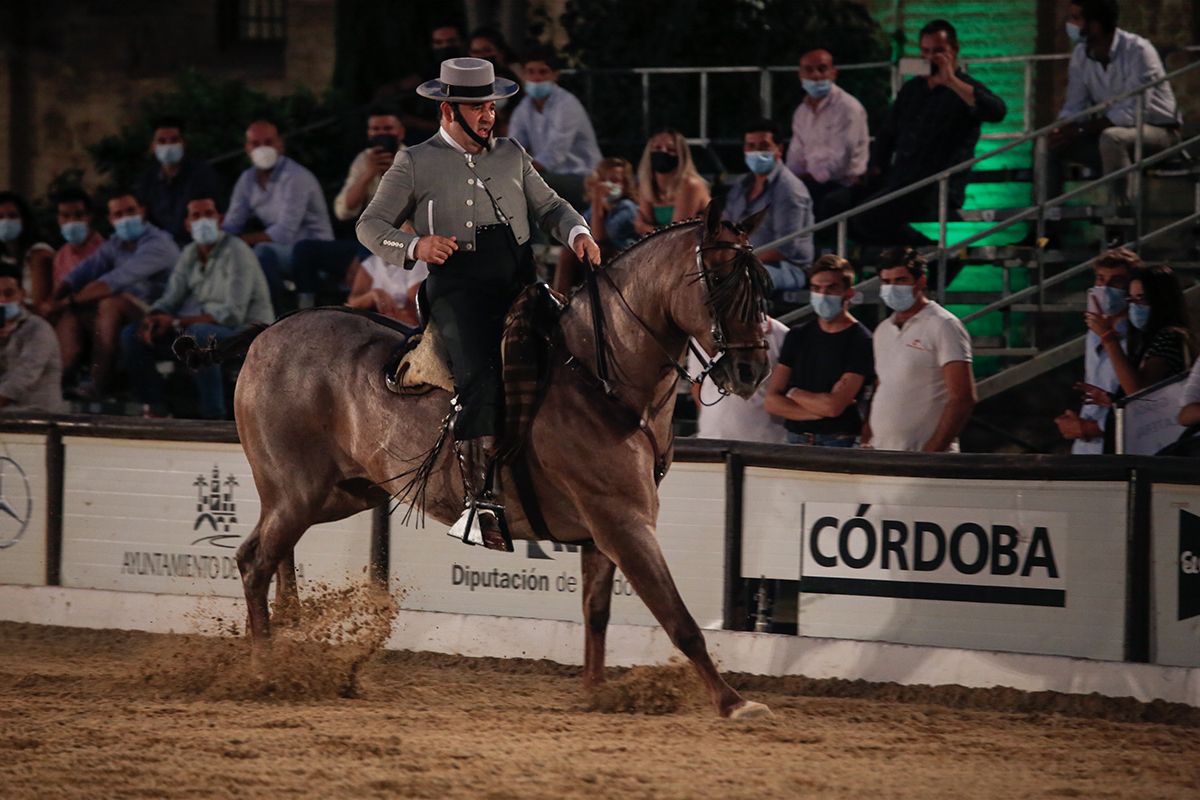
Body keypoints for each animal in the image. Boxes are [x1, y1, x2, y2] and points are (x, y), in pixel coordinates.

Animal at [210, 201, 772, 719]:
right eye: (718, 278)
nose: (753, 371)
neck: (596, 375)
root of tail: (267, 335)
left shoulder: (602, 532)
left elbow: (596, 612)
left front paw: (596, 692)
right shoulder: (624, 523)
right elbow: (678, 619)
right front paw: (734, 702)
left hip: (337, 494)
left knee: (273, 555)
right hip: (298, 493)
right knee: (255, 562)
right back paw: (265, 671)